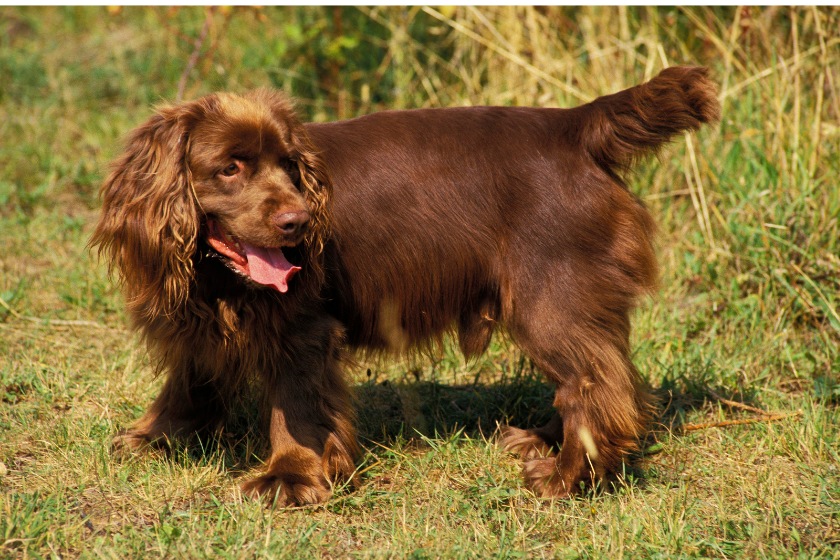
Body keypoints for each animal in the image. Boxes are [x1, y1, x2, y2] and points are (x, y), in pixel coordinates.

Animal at [93, 65, 720, 504]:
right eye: (229, 168)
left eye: (290, 166)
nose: (299, 222)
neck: (211, 275)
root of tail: (572, 124)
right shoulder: (198, 320)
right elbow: (190, 379)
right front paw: (156, 437)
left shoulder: (301, 326)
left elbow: (295, 404)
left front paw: (289, 477)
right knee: (603, 373)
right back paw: (542, 439)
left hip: (550, 293)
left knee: (594, 385)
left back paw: (565, 476)